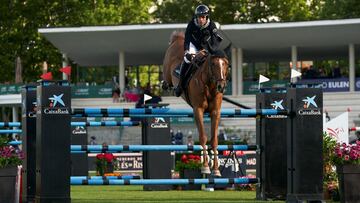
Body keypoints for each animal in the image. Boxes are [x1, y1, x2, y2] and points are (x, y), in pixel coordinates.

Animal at [162, 30, 229, 176]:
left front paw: (216, 169)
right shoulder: (198, 110)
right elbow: (203, 137)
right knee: (166, 80)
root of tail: (178, 39)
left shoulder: (215, 112)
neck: (209, 84)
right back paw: (167, 86)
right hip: (168, 72)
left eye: (226, 64)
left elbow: (214, 140)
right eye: (213, 64)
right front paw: (205, 167)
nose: (221, 86)